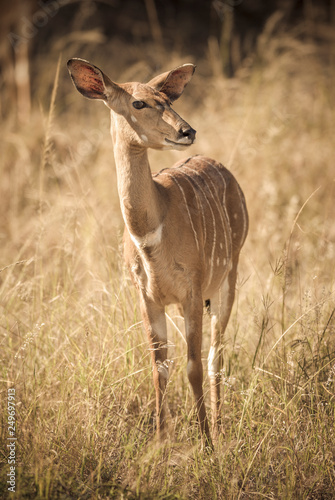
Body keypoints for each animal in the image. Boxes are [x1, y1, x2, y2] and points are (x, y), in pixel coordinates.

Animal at [67, 57, 248, 446]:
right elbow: (159, 367)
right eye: (139, 103)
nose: (186, 131)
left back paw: (220, 427)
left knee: (216, 355)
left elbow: (192, 367)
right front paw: (161, 444)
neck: (151, 235)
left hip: (228, 278)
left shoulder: (192, 291)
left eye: (167, 98)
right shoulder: (147, 296)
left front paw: (206, 443)